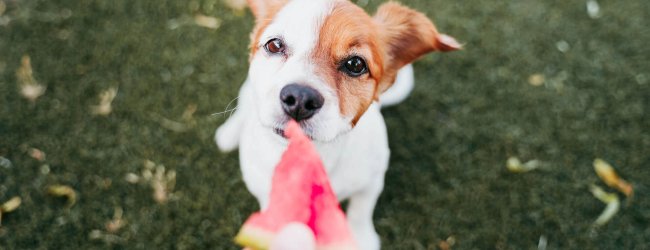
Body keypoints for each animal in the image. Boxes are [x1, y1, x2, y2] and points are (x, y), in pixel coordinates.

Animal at [215, 0, 458, 248]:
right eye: (274, 45)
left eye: (356, 64)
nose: (300, 99)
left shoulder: (372, 180)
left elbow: (361, 211)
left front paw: (362, 238)